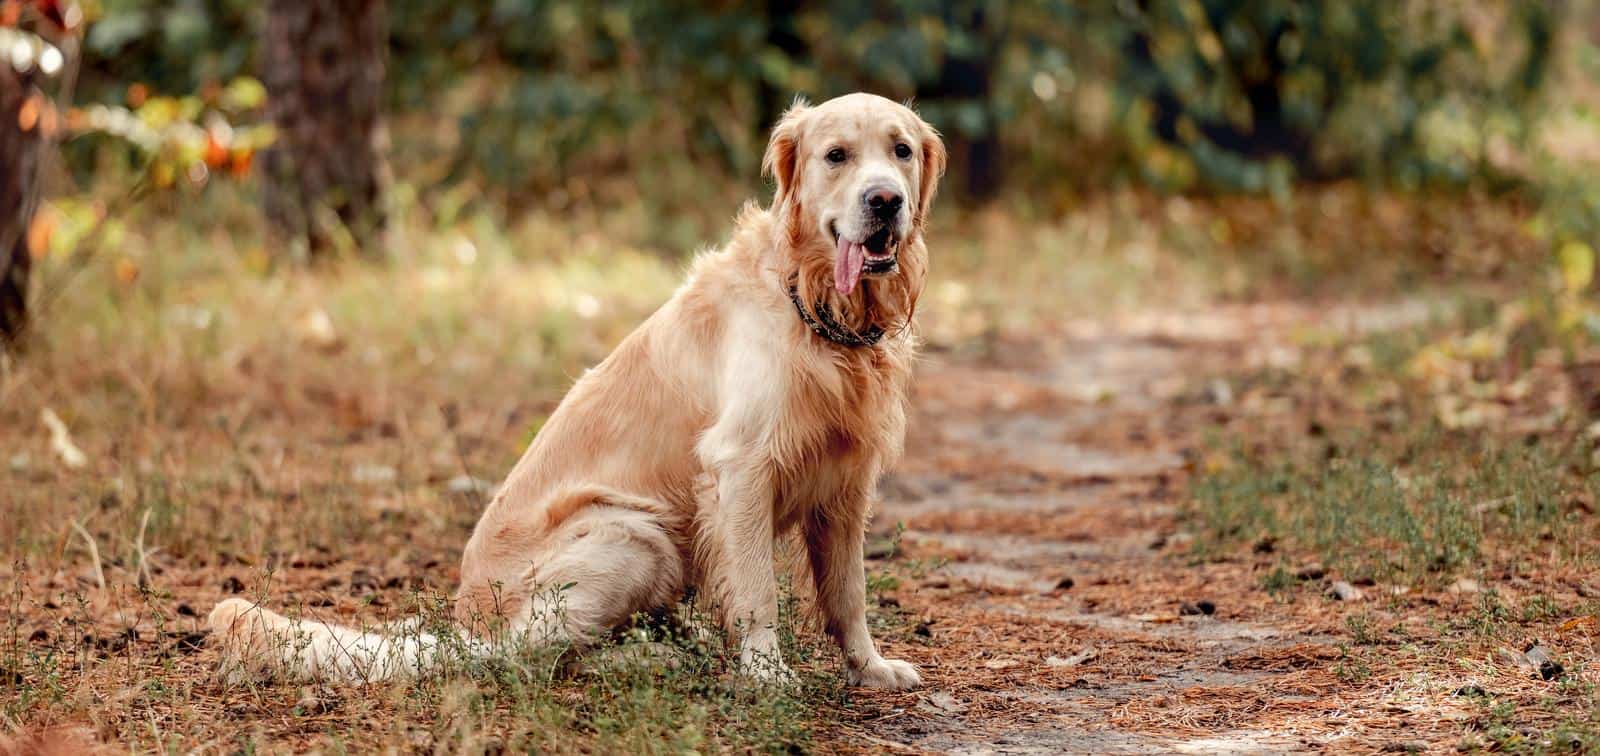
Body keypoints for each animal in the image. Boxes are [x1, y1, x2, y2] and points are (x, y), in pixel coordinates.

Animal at [206, 91, 940, 688]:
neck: (812, 303)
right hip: (631, 531)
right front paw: (766, 673)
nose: (886, 201)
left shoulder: (847, 480)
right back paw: (650, 658)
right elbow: (758, 590)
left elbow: (848, 593)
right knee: (537, 656)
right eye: (836, 156)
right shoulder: (741, 466)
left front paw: (870, 667)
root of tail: (465, 626)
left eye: (900, 151)